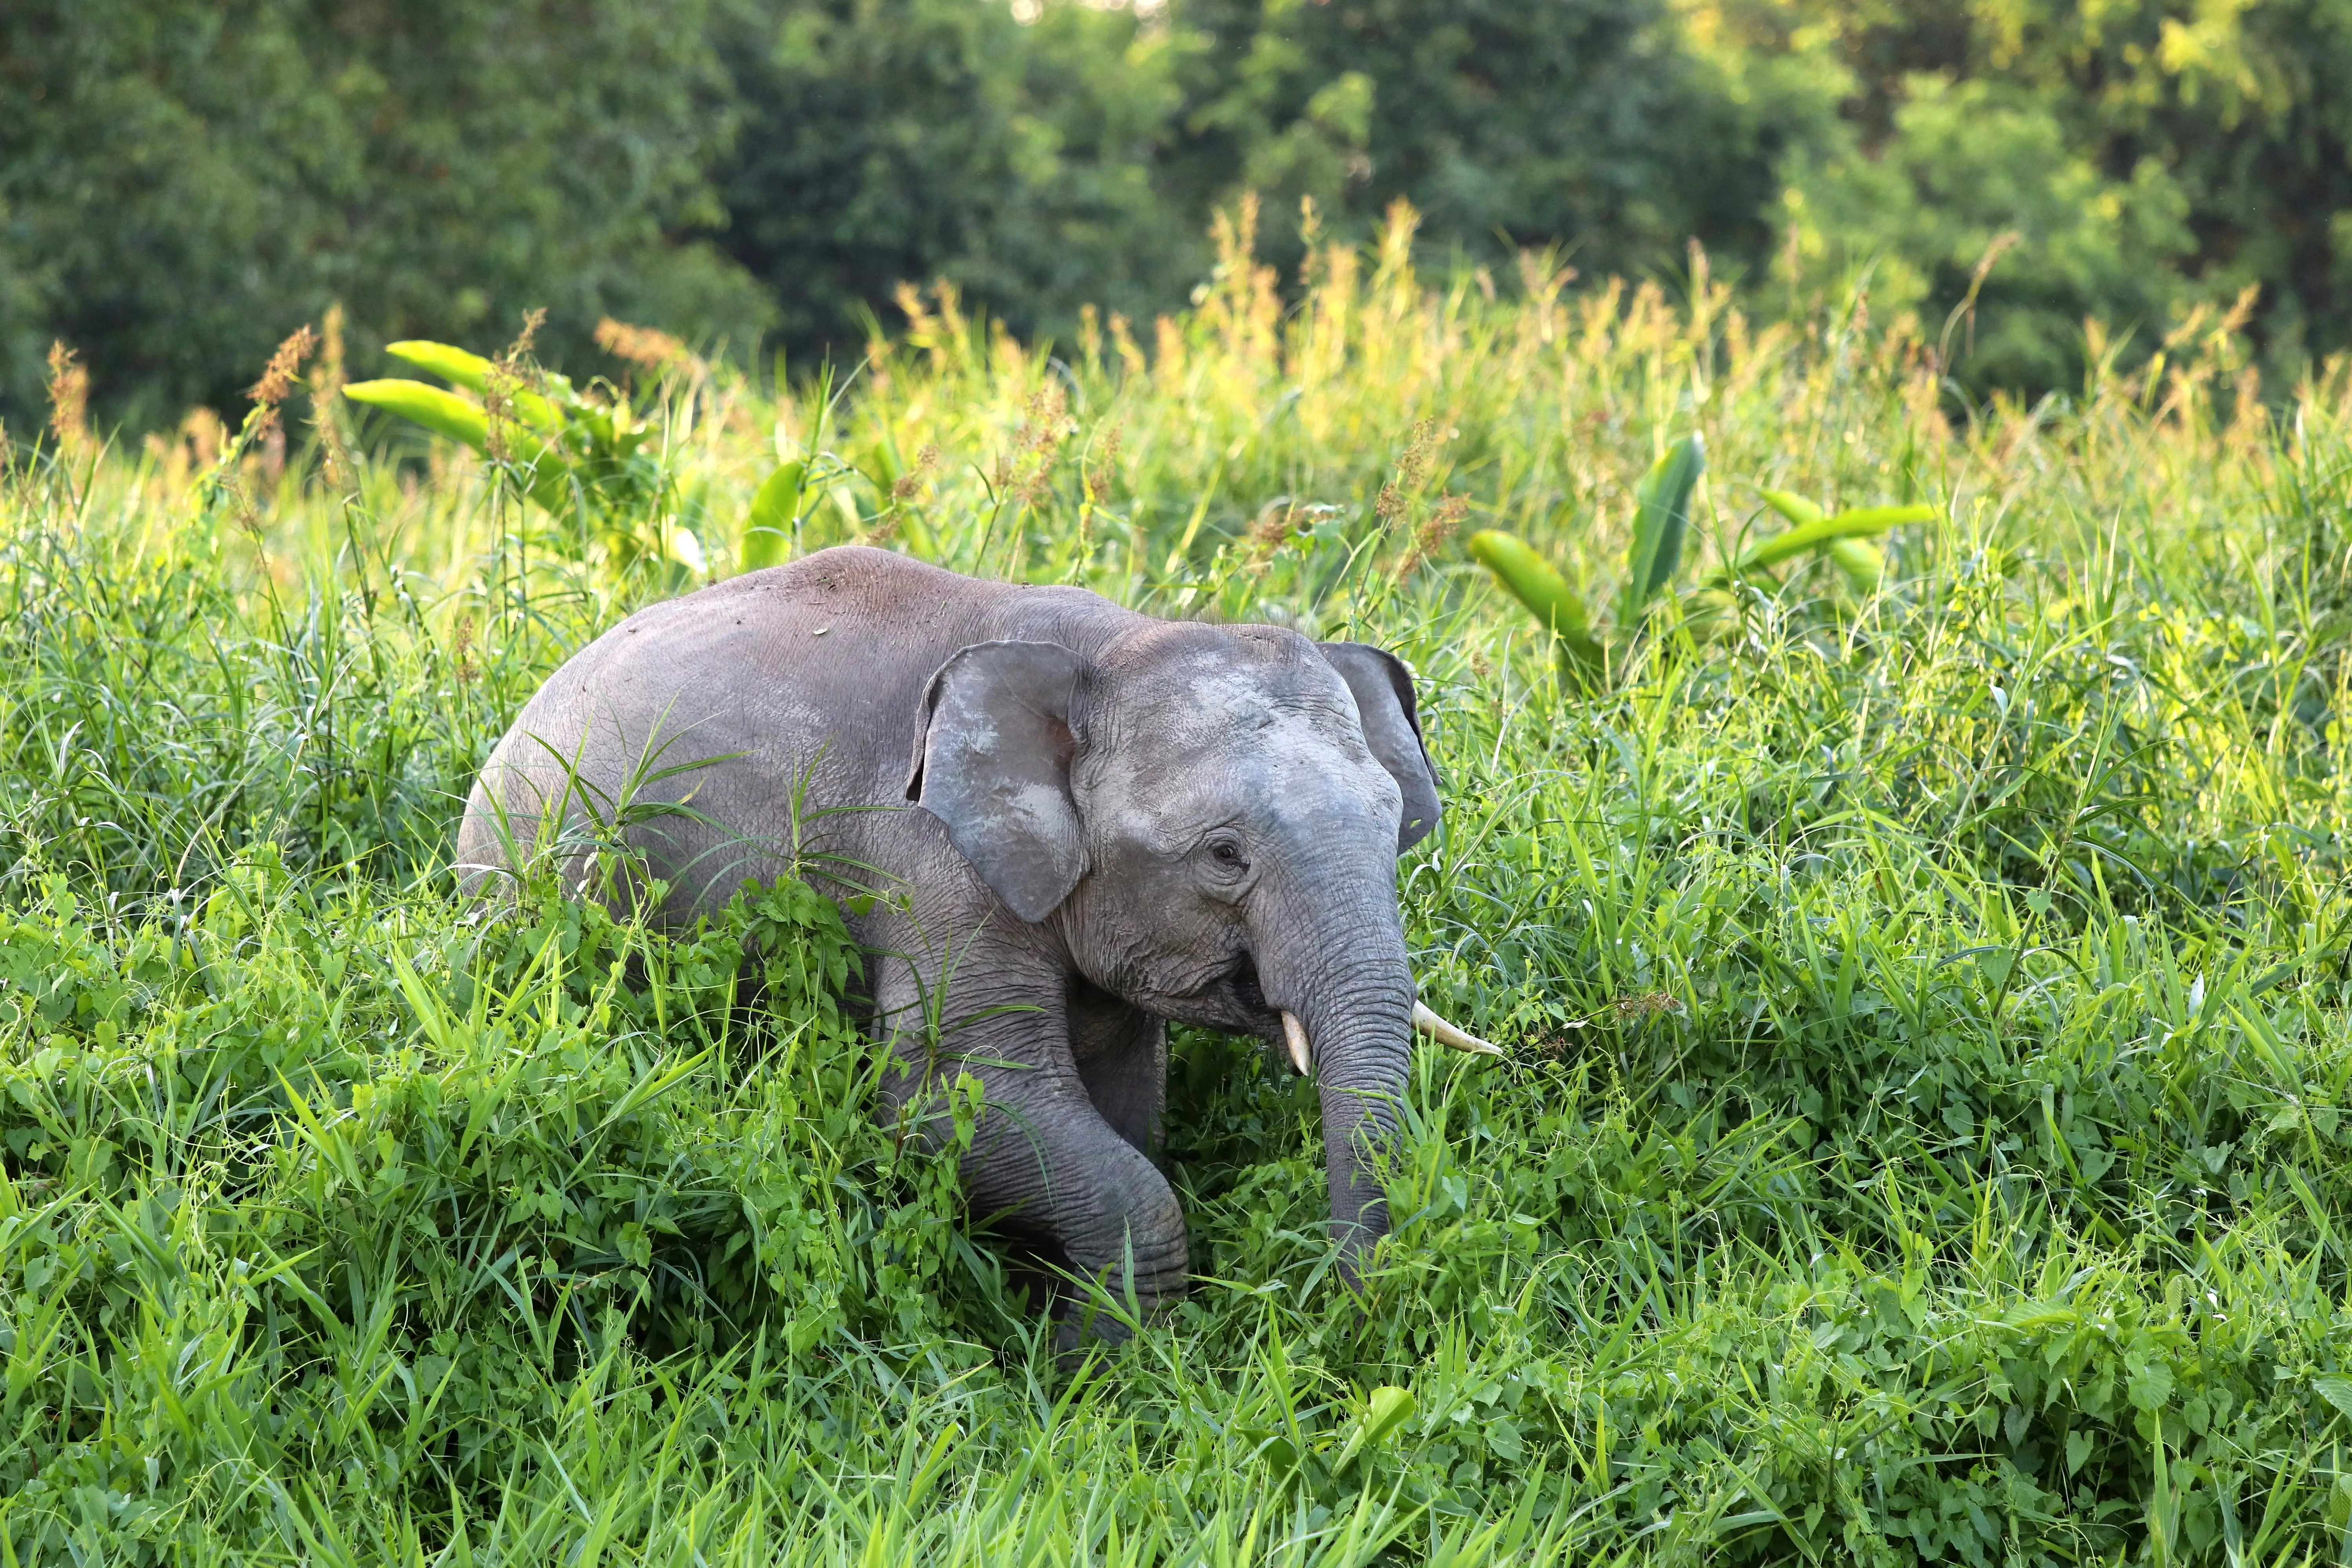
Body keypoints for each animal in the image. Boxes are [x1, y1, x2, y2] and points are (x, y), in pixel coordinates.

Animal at [455, 544, 1496, 1337]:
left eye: (1394, 824)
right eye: (1225, 855)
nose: (1340, 1308)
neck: (1110, 644)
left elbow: (1125, 1101)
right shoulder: (933, 869)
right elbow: (940, 1100)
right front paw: (1100, 1374)